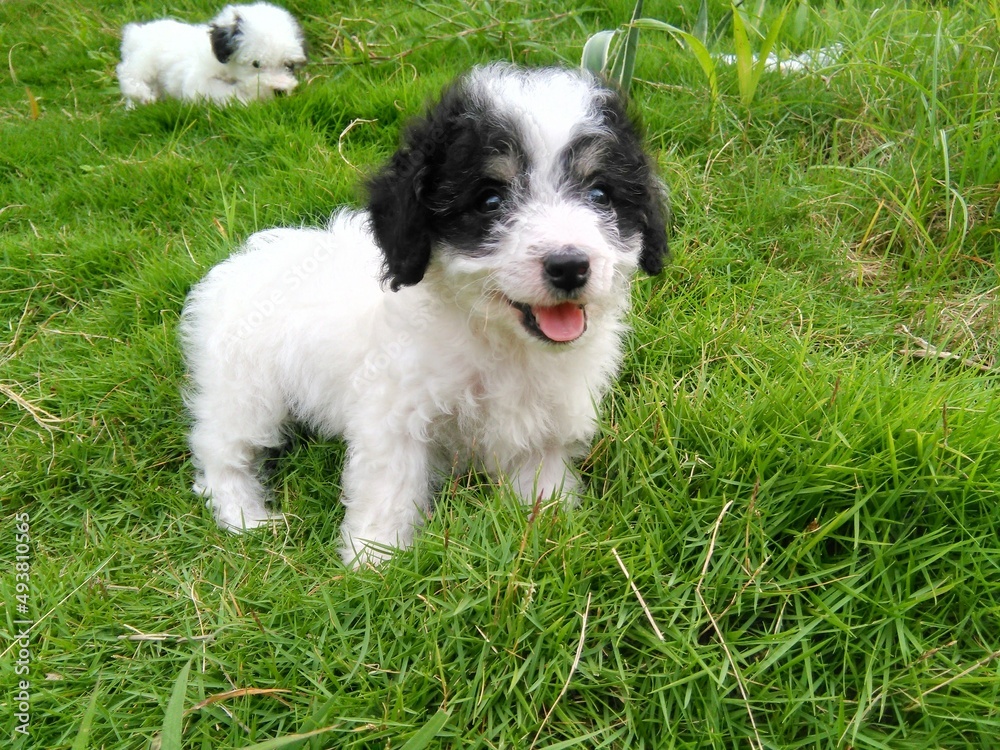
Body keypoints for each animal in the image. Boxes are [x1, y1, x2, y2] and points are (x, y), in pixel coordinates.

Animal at [116, 2, 304, 107]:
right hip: (142, 61)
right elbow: (225, 92)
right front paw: (248, 102)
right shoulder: (199, 82)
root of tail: (136, 32)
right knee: (129, 76)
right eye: (256, 64)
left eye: (288, 65)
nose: (280, 91)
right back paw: (142, 94)